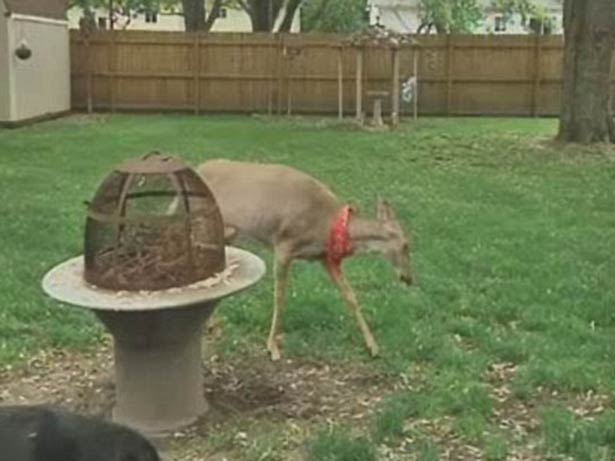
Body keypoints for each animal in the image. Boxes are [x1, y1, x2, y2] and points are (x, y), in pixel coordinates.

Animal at [197, 160, 414, 362]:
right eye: (406, 245)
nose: (409, 278)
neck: (324, 225)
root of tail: (199, 167)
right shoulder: (284, 245)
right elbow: (280, 297)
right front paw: (272, 346)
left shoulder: (326, 258)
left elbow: (350, 296)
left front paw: (373, 347)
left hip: (228, 233)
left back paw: (211, 323)